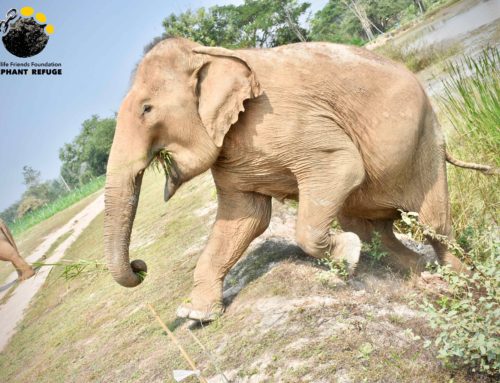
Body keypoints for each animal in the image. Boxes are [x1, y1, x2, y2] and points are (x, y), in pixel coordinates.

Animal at [103, 37, 494, 322]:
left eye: (146, 109)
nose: (140, 266)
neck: (208, 53)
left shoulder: (285, 119)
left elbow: (341, 166)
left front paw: (347, 256)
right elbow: (245, 218)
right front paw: (194, 315)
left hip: (424, 144)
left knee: (434, 226)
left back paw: (461, 281)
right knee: (372, 227)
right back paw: (418, 272)